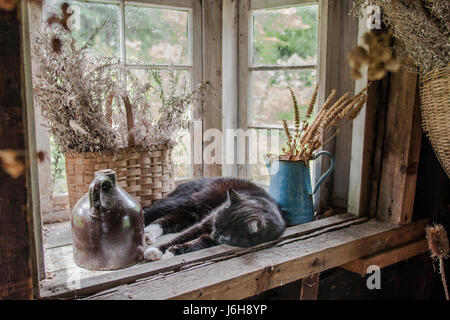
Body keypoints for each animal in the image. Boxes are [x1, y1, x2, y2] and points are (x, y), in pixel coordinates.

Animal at [142, 176, 286, 262]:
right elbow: (183, 236)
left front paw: (173, 252)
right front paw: (158, 250)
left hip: (189, 215)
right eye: (216, 223)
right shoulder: (205, 223)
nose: (214, 233)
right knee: (148, 212)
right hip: (183, 201)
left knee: (167, 221)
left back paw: (148, 234)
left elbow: (200, 242)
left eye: (225, 235)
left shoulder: (213, 239)